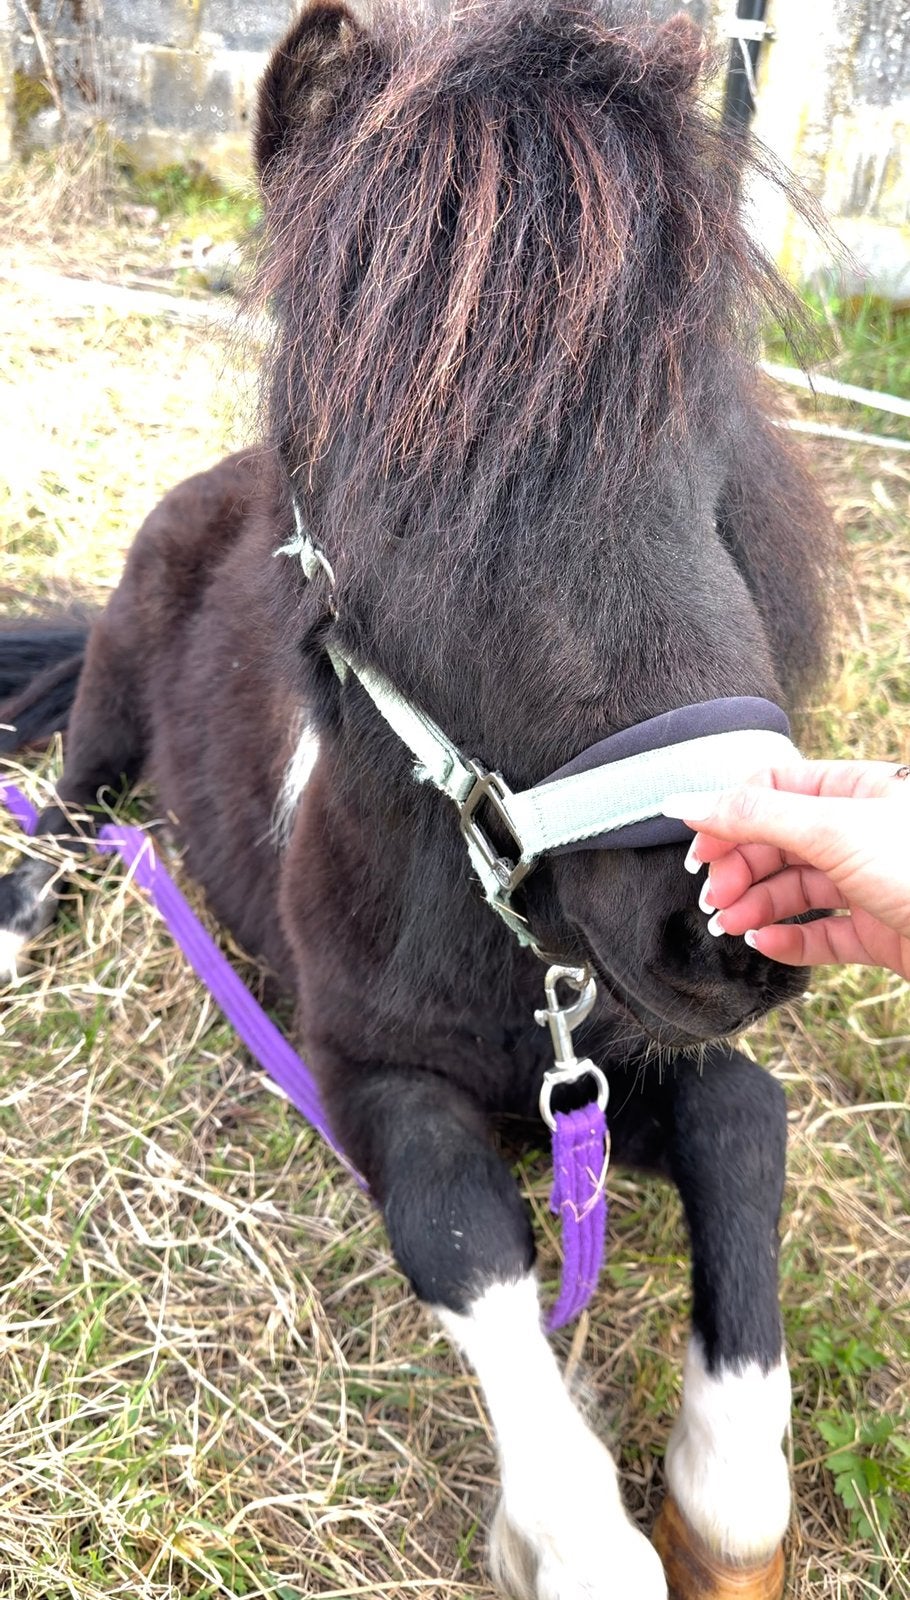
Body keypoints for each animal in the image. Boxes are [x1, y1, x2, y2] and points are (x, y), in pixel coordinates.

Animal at [0, 4, 836, 1597]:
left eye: (706, 431)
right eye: (408, 481)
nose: (727, 925)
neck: (509, 954)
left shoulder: (616, 1065)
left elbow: (745, 1118)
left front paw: (724, 1498)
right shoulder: (366, 1071)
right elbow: (461, 1237)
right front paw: (573, 1537)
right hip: (119, 685)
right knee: (72, 801)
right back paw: (18, 924)